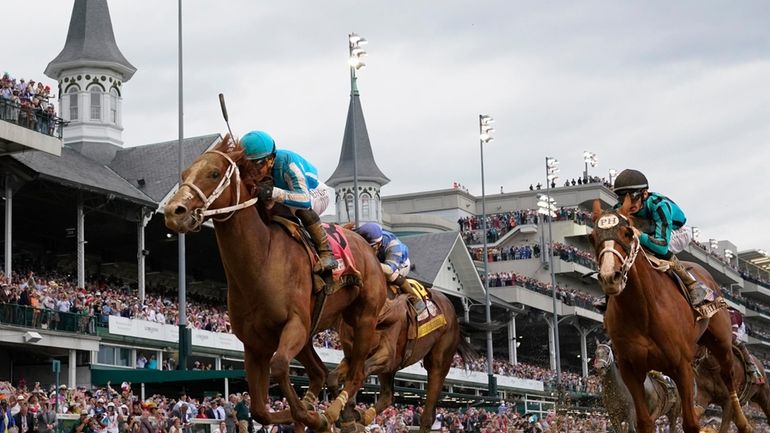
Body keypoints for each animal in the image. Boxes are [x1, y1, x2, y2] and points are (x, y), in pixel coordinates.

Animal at [164, 137, 388, 430]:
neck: (263, 261)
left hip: (363, 320)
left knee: (357, 372)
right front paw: (305, 414)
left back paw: (336, 412)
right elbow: (260, 410)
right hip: (315, 333)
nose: (173, 211)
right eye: (184, 174)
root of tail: (367, 245)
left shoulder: (295, 324)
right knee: (320, 372)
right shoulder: (254, 343)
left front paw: (312, 415)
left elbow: (280, 365)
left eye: (213, 173)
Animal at [328, 286, 474, 432]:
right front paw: (344, 414)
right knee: (387, 396)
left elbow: (358, 374)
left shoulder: (387, 355)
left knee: (428, 415)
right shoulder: (353, 356)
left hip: (439, 360)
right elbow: (333, 377)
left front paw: (346, 413)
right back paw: (362, 417)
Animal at [588, 200, 752, 433]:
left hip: (721, 342)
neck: (642, 311)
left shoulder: (681, 366)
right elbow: (644, 422)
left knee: (728, 376)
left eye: (627, 233)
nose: (611, 277)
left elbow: (691, 423)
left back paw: (743, 422)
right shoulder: (631, 370)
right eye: (592, 237)